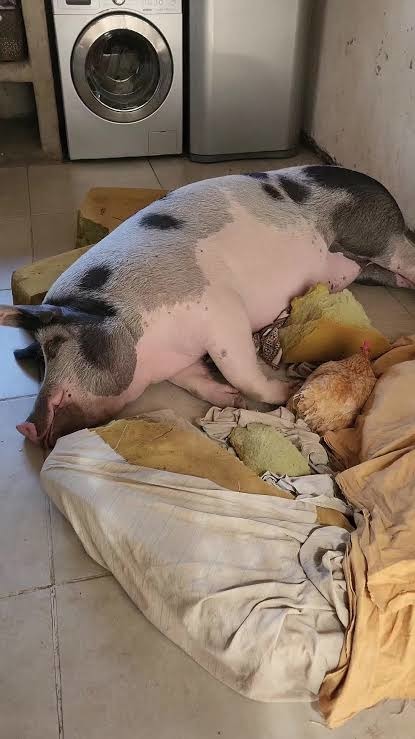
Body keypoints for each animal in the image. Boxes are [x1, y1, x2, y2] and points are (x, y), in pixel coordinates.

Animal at [1, 165, 415, 447]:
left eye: (54, 346)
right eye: (38, 360)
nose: (26, 426)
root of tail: (384, 191)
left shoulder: (220, 310)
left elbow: (240, 368)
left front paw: (287, 391)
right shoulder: (178, 358)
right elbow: (193, 380)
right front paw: (227, 398)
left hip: (377, 238)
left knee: (405, 256)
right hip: (367, 267)